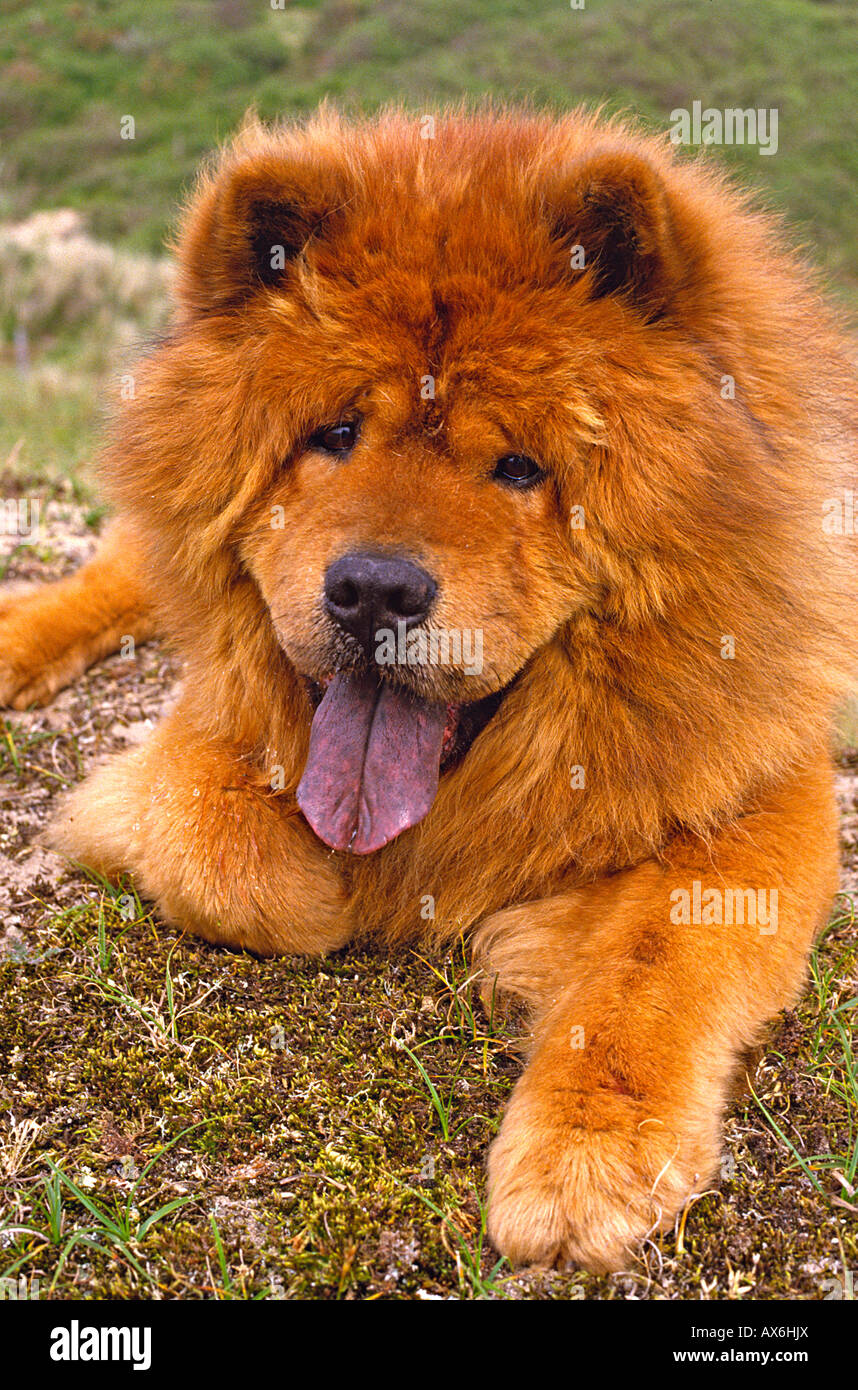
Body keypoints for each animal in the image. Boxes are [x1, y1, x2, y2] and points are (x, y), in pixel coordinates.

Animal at [1, 108, 856, 1273]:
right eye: (333, 435)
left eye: (521, 468)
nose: (372, 589)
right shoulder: (216, 717)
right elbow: (222, 855)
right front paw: (342, 892)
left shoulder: (759, 788)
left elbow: (658, 965)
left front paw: (587, 1157)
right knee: (114, 576)